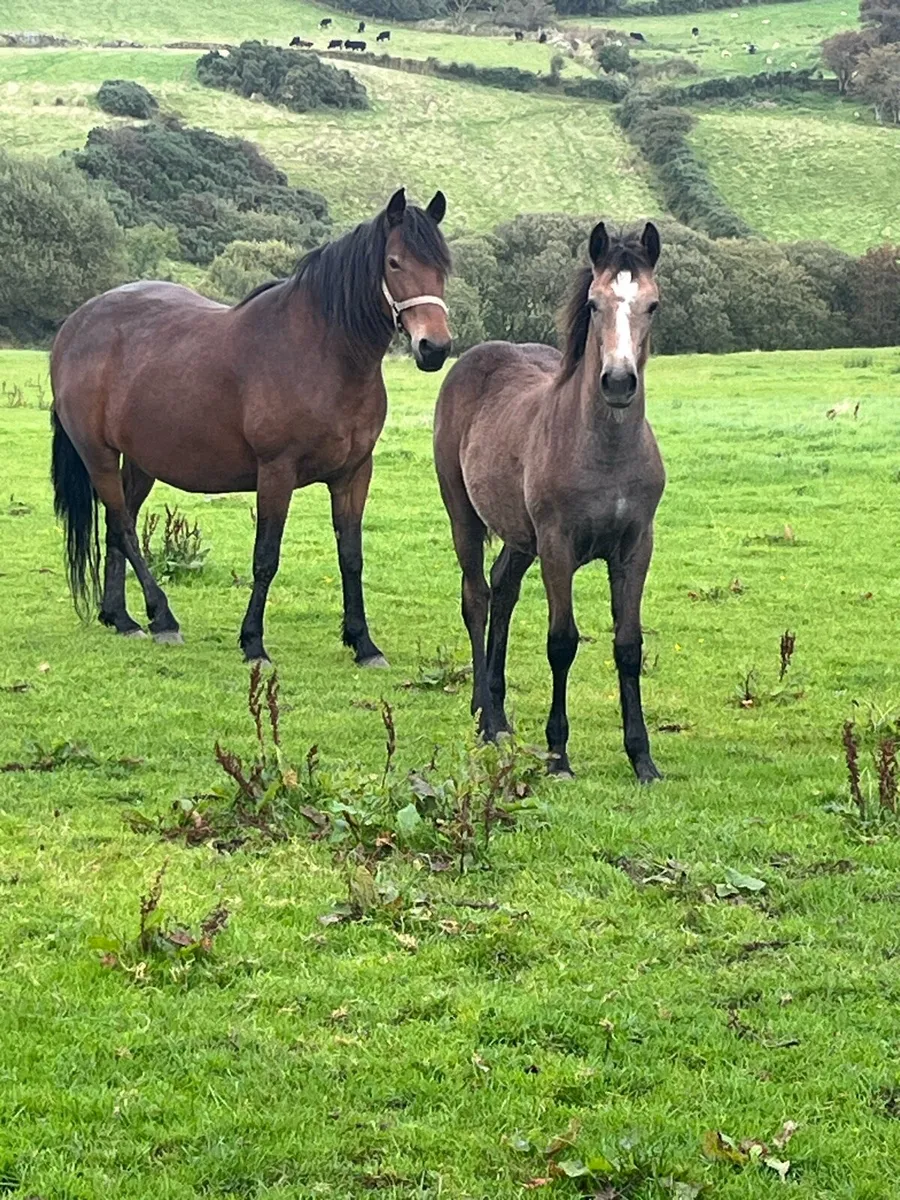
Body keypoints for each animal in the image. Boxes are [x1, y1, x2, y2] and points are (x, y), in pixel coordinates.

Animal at [50, 189, 451, 667]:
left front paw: (363, 643)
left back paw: (122, 618)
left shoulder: (354, 474)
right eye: (394, 262)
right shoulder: (276, 471)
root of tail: (74, 326)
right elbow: (266, 557)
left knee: (118, 525)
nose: (435, 348)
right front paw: (253, 642)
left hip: (140, 461)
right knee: (125, 527)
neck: (323, 353)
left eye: (443, 265)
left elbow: (352, 557)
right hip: (99, 456)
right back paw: (162, 617)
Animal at [433, 222, 664, 782]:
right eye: (595, 303)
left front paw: (642, 757)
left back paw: (497, 714)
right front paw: (559, 754)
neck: (605, 451)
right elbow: (561, 642)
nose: (619, 381)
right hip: (464, 516)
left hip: (521, 537)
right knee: (477, 597)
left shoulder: (635, 548)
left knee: (503, 589)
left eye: (652, 305)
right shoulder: (558, 547)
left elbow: (629, 645)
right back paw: (484, 718)